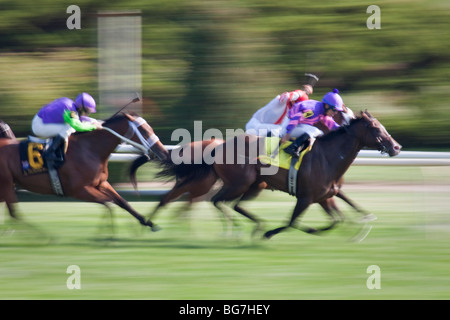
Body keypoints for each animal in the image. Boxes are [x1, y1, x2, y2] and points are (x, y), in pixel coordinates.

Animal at [0, 112, 168, 230]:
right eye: (144, 131)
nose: (163, 152)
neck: (90, 149)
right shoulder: (79, 190)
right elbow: (109, 203)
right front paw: (108, 235)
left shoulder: (101, 183)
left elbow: (122, 202)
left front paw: (148, 223)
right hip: (6, 183)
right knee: (14, 213)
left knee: (12, 212)